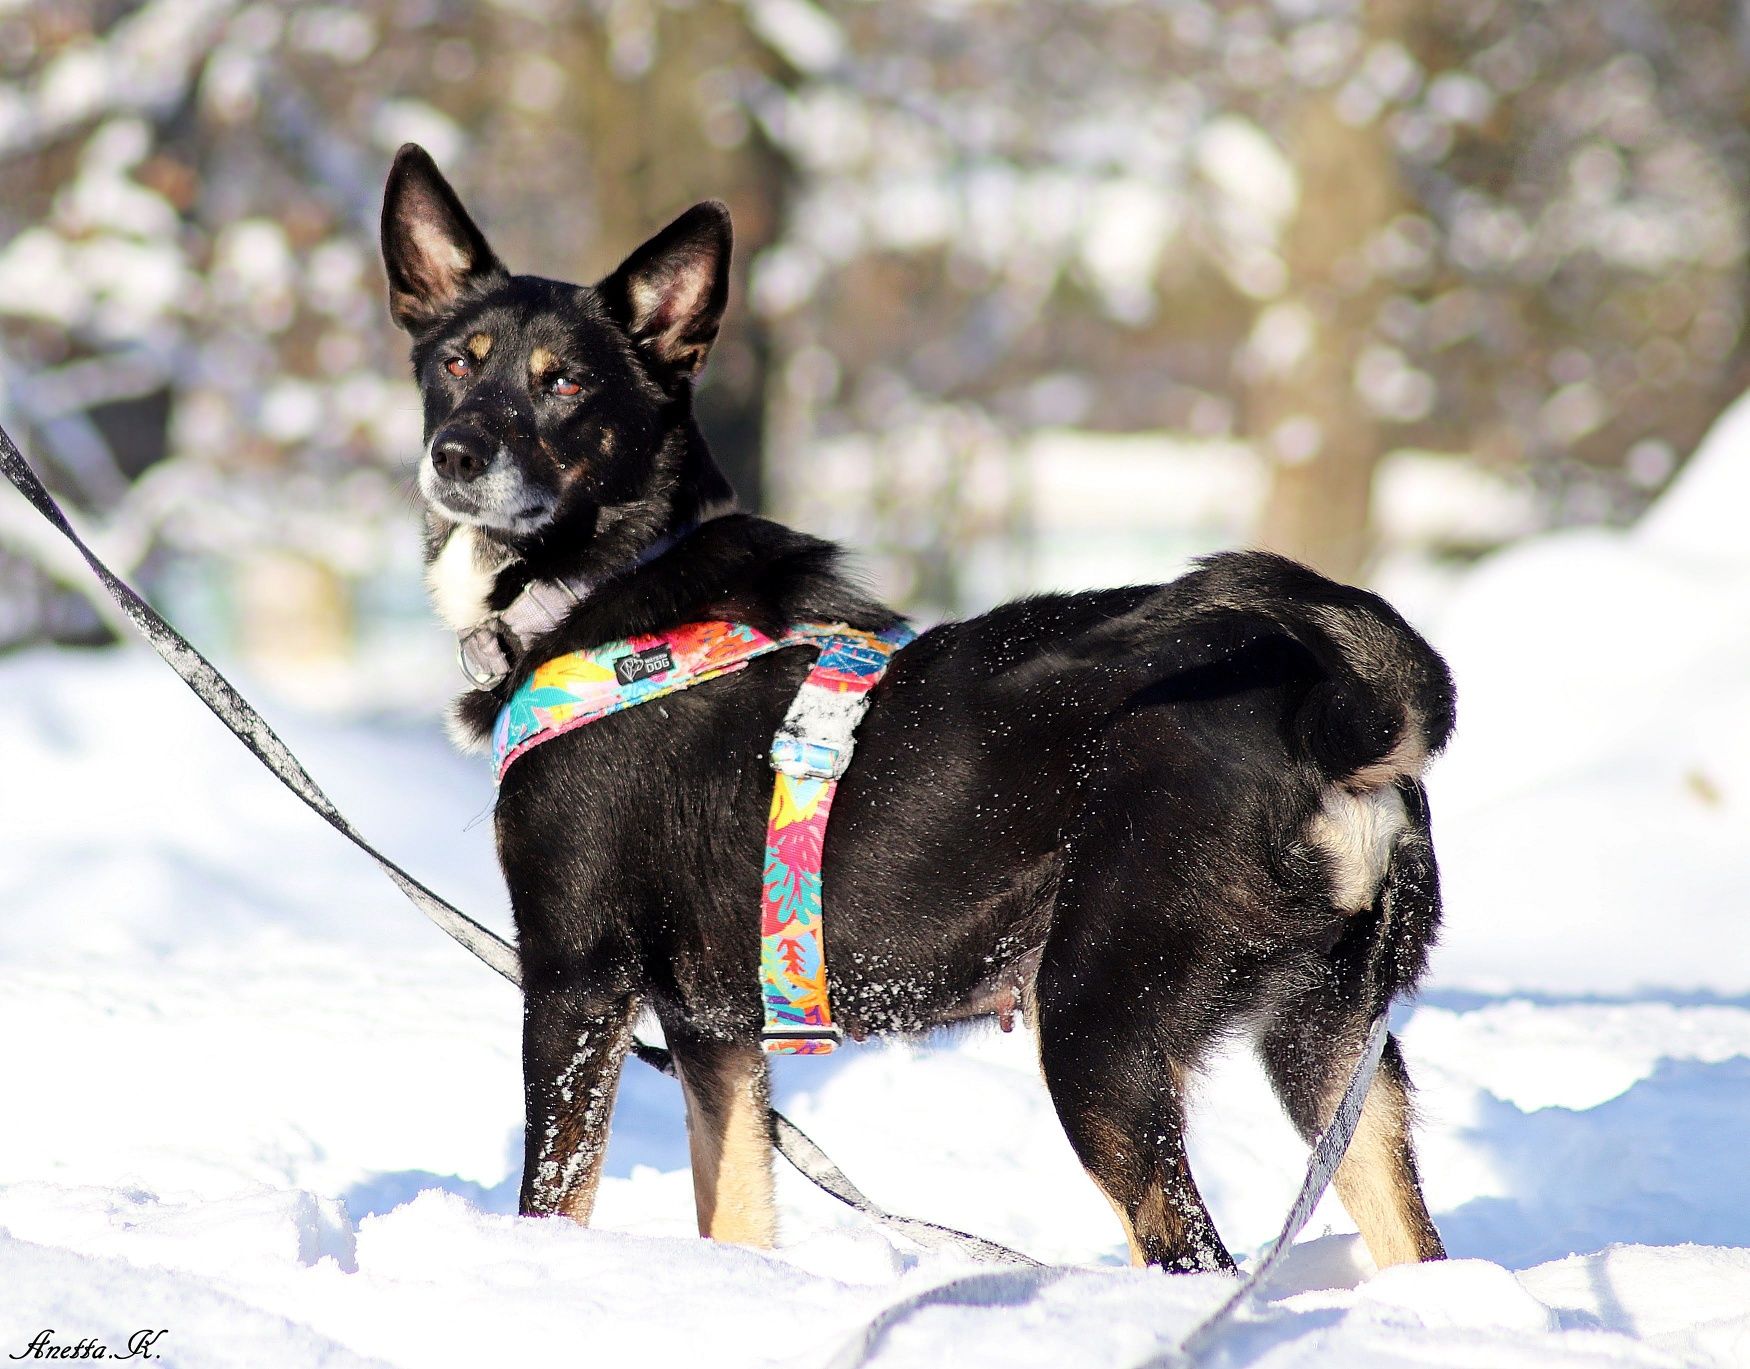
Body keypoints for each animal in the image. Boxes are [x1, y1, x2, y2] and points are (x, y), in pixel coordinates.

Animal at [379, 144, 1449, 1267]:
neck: (601, 582)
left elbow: (551, 1193)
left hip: (1100, 1034)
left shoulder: (575, 977)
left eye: (568, 383)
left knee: (1195, 1254)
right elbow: (736, 1216)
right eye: (459, 363)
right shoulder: (716, 1031)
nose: (457, 456)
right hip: (1333, 1047)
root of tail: (1334, 711)